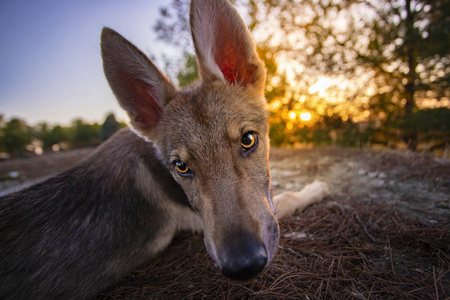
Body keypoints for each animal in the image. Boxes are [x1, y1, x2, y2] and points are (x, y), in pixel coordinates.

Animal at [0, 0, 330, 298]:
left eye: (248, 140)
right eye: (181, 167)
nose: (243, 265)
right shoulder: (202, 222)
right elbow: (289, 197)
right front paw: (316, 187)